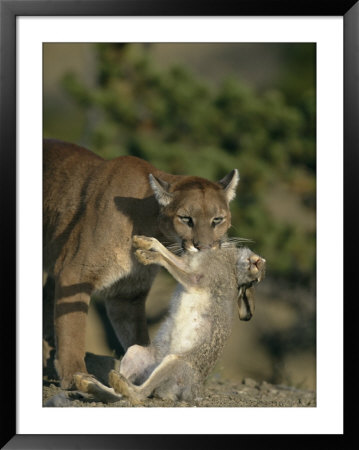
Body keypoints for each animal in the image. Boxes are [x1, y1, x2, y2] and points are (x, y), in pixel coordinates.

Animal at [43, 139, 239, 388]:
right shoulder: (75, 273)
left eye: (217, 220)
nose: (203, 247)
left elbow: (138, 335)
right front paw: (76, 374)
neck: (148, 223)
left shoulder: (128, 293)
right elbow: (72, 327)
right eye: (186, 219)